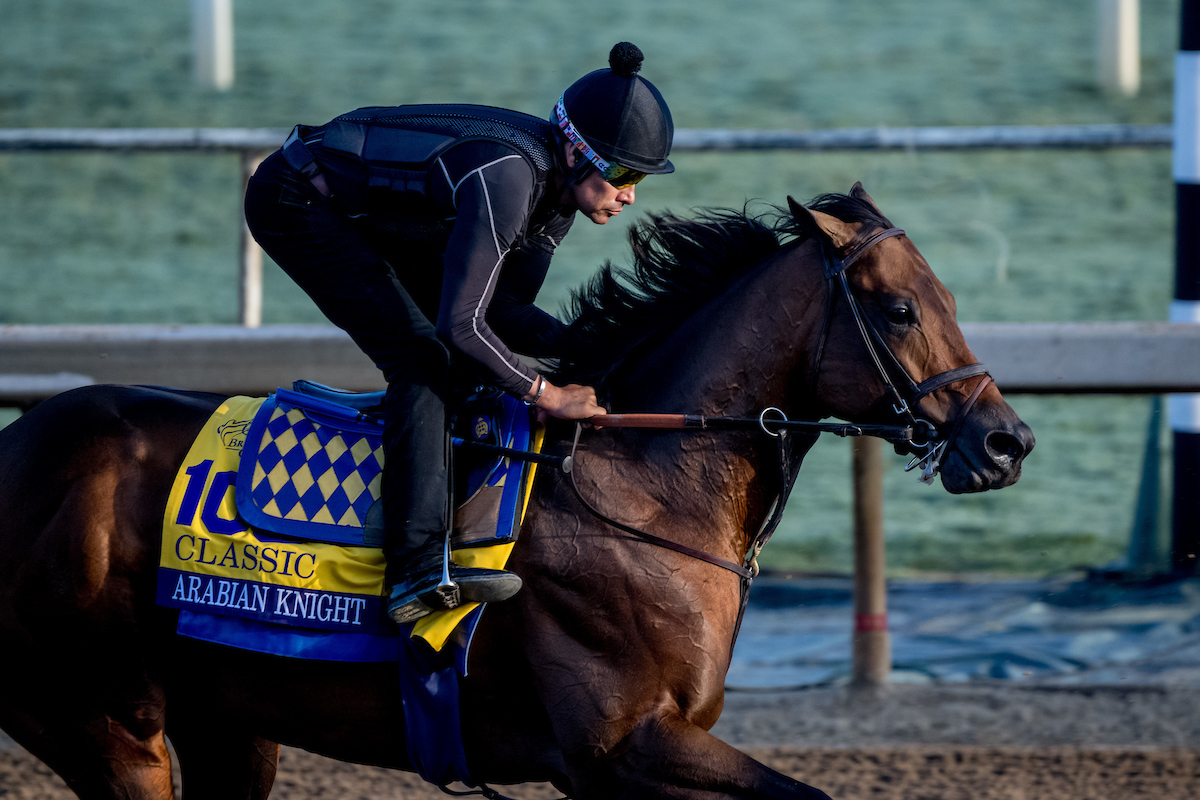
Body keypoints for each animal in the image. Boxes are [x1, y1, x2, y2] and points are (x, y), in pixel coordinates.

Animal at [0, 184, 1033, 799]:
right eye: (899, 310)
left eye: (945, 298)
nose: (1006, 440)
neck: (644, 490)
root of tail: (17, 446)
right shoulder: (621, 751)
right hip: (105, 723)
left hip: (230, 720)